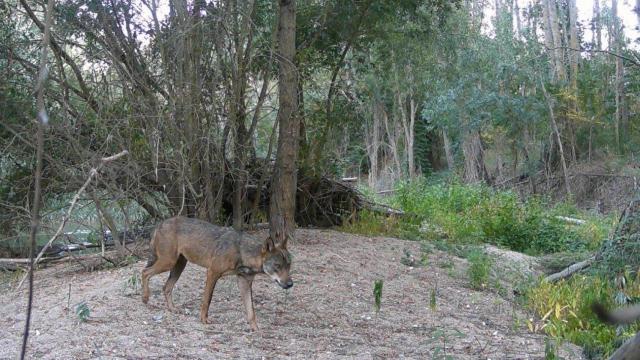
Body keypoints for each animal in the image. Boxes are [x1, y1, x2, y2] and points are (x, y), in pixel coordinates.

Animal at [141, 215, 294, 330]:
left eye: (289, 266)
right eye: (277, 266)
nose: (290, 284)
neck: (242, 251)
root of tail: (161, 223)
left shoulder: (244, 282)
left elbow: (251, 311)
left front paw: (256, 329)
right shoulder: (212, 273)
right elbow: (207, 300)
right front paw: (204, 319)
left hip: (178, 266)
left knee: (166, 287)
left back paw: (172, 309)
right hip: (168, 263)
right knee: (144, 272)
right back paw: (145, 298)